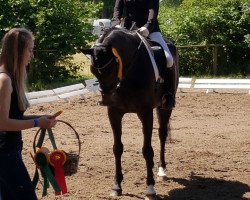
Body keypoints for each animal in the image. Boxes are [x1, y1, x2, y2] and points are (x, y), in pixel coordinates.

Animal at [79, 27, 179, 200]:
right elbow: (117, 148)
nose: (105, 99)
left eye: (112, 67)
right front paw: (117, 186)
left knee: (162, 134)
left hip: (165, 106)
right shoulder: (114, 113)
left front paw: (150, 188)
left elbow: (147, 150)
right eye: (93, 70)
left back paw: (162, 170)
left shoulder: (145, 112)